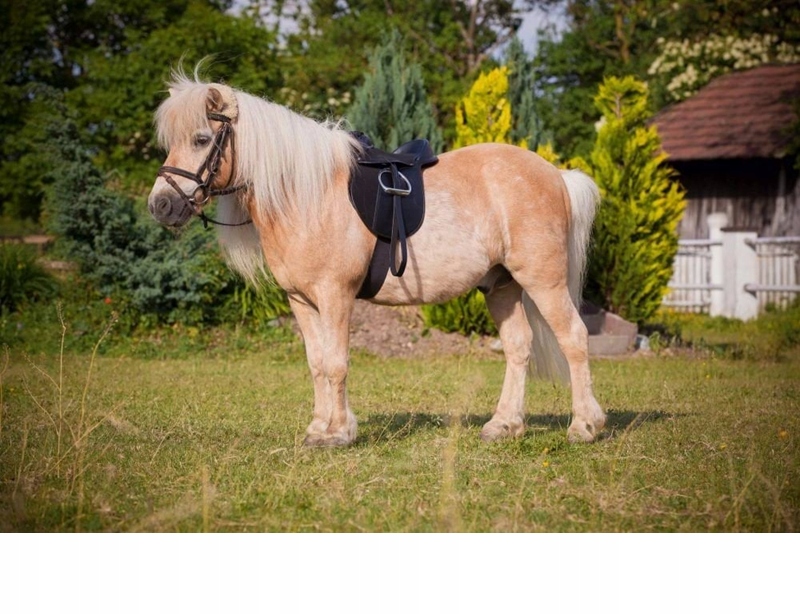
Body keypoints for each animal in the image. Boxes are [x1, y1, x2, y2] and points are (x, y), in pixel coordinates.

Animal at [147, 71, 607, 447]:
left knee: (574, 338)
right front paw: (319, 428)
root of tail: (557, 175)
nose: (161, 205)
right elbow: (316, 363)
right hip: (501, 285)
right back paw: (504, 425)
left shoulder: (335, 295)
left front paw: (337, 434)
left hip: (543, 281)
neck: (308, 194)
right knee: (518, 347)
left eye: (201, 139)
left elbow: (336, 363)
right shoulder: (301, 301)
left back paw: (584, 426)